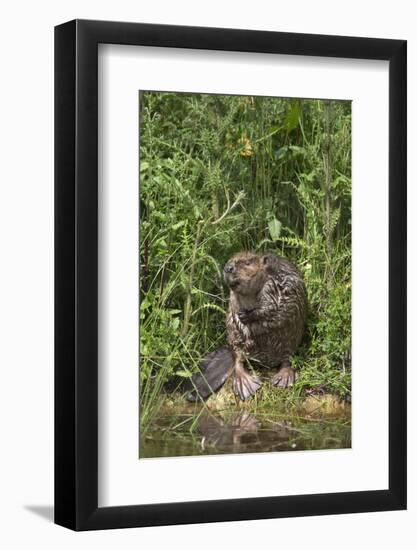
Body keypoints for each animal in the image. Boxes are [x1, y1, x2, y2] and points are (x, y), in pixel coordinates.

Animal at [187, 253, 308, 402]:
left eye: (248, 263)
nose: (228, 268)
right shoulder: (235, 297)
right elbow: (235, 309)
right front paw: (242, 318)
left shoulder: (276, 286)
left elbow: (275, 307)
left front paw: (248, 315)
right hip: (236, 344)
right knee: (239, 360)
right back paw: (246, 384)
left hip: (289, 343)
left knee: (286, 360)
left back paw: (283, 379)